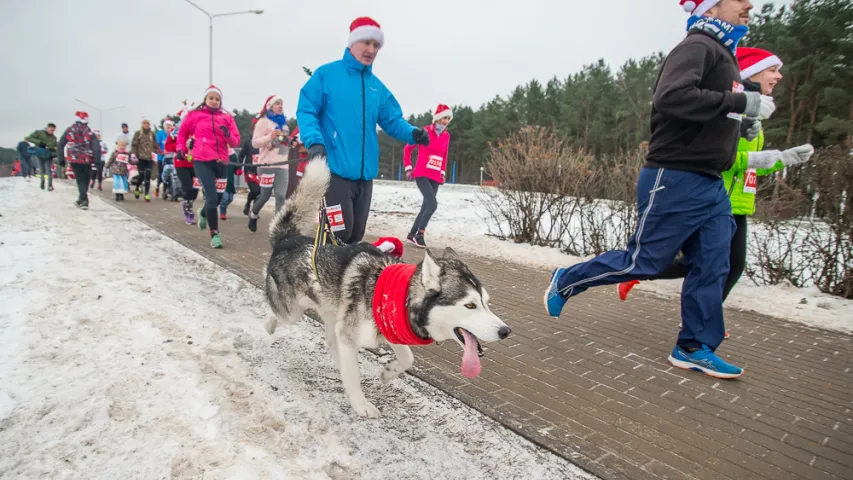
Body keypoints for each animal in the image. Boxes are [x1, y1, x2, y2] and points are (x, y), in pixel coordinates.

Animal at [262, 159, 510, 418]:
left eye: (486, 303)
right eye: (470, 305)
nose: (505, 331)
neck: (402, 297)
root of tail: (288, 239)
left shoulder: (388, 327)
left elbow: (407, 357)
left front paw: (388, 372)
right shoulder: (350, 335)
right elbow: (354, 375)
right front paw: (361, 404)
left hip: (330, 313)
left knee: (331, 340)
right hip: (291, 312)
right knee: (275, 310)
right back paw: (269, 325)